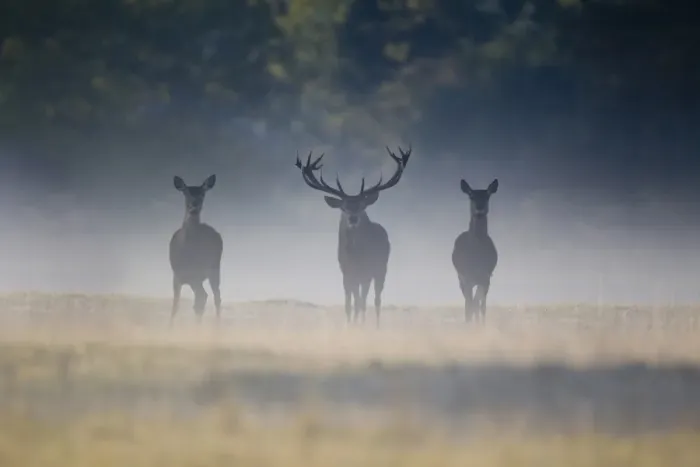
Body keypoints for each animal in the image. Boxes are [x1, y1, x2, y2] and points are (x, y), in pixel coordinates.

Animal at [169, 174, 223, 325]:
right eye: (185, 192)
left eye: (202, 193)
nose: (194, 206)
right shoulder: (177, 275)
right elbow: (175, 305)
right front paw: (169, 327)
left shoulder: (196, 275)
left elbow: (199, 301)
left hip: (214, 268)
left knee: (214, 296)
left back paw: (217, 327)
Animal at [295, 146, 411, 327]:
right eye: (343, 207)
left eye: (362, 205)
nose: (353, 218)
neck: (355, 256)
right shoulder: (346, 273)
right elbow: (349, 304)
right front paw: (350, 325)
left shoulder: (367, 272)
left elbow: (361, 302)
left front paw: (360, 326)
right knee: (361, 299)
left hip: (380, 270)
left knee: (375, 300)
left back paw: (376, 326)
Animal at [452, 178, 499, 324]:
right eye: (471, 196)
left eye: (487, 195)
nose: (479, 208)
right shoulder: (466, 278)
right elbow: (470, 306)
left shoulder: (486, 277)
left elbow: (481, 306)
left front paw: (481, 327)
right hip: (460, 278)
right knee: (469, 303)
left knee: (477, 304)